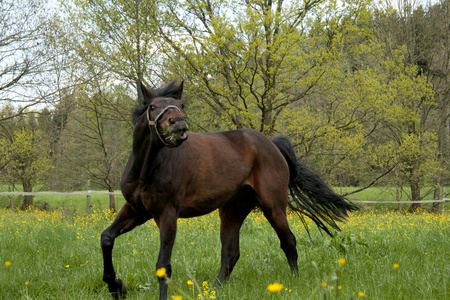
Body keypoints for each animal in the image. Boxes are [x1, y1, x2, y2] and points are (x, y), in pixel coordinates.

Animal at [100, 80, 356, 300]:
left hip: (272, 206)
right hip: (232, 210)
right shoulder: (137, 210)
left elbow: (163, 264)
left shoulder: (167, 214)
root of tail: (272, 144)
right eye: (153, 107)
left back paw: (295, 282)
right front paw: (116, 286)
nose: (179, 124)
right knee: (231, 253)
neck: (146, 169)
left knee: (288, 241)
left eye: (181, 106)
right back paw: (213, 290)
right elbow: (106, 238)